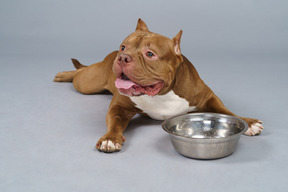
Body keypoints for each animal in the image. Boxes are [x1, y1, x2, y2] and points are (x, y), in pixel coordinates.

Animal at [54, 18, 264, 152]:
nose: (123, 57)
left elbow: (227, 111)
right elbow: (114, 121)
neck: (162, 93)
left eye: (150, 54)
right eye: (124, 46)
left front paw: (249, 122)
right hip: (88, 82)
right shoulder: (119, 106)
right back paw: (63, 74)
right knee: (79, 73)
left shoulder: (208, 97)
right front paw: (110, 139)